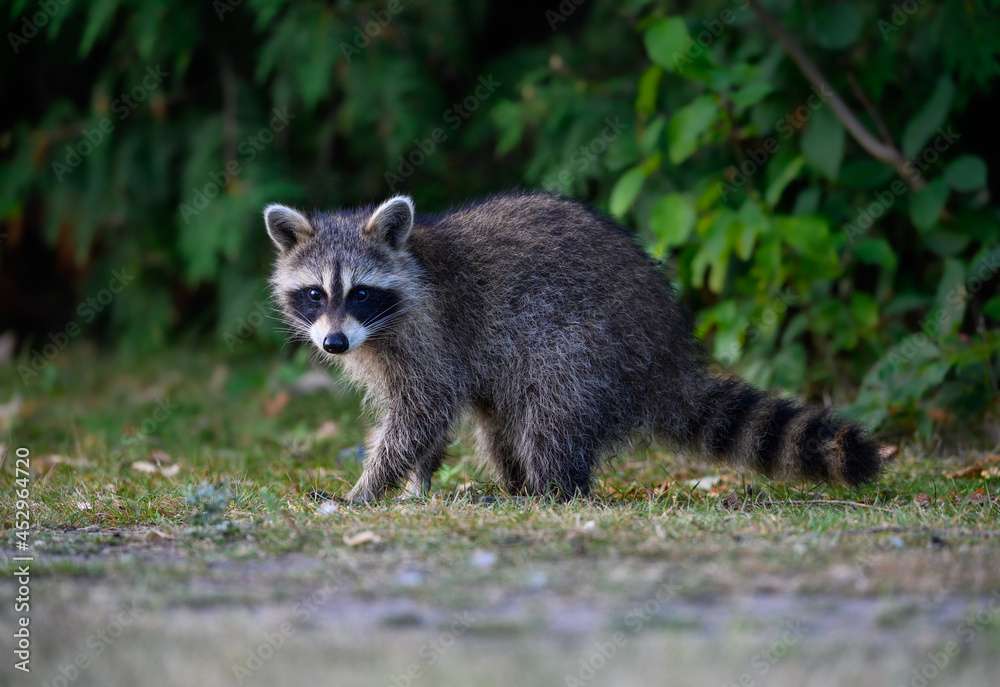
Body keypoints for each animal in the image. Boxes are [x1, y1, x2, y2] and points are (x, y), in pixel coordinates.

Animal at [266, 191, 884, 502]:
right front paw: (418, 483)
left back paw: (550, 491)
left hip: (588, 349)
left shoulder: (429, 332)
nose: (334, 343)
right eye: (316, 293)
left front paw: (368, 487)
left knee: (549, 417)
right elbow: (430, 419)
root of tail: (669, 355)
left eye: (360, 293)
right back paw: (517, 485)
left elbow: (423, 410)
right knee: (500, 423)